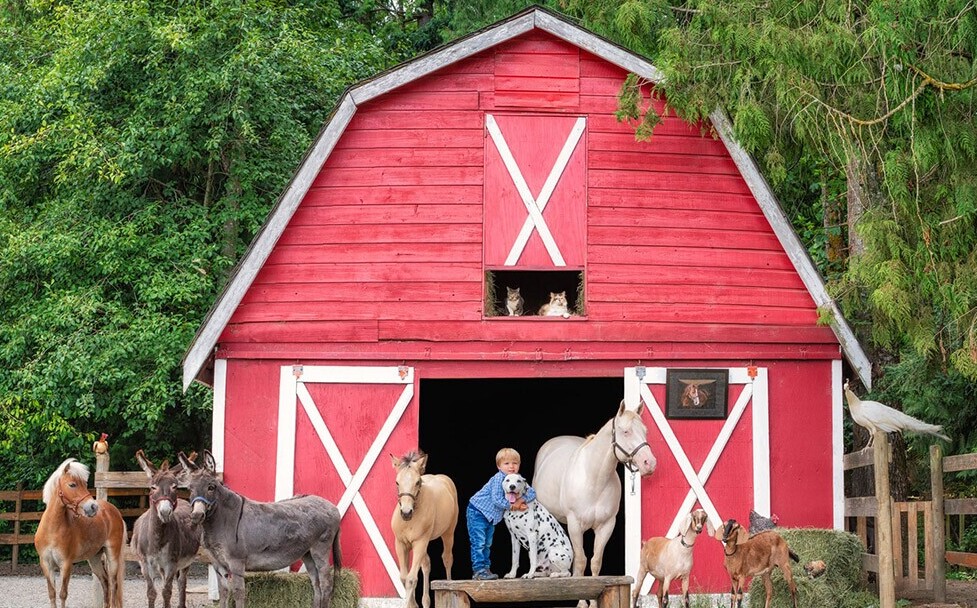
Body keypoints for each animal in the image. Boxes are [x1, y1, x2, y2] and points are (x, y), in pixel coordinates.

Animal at [34, 458, 127, 604]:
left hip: (112, 556)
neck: (52, 530)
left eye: (84, 483)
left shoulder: (66, 564)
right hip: (94, 558)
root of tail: (114, 511)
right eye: (72, 484)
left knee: (113, 585)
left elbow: (63, 594)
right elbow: (52, 594)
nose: (93, 507)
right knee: (105, 582)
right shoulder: (46, 564)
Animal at [131, 448, 201, 608]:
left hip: (185, 562)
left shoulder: (171, 563)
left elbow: (167, 592)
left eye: (174, 487)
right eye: (153, 487)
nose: (164, 512)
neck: (157, 537)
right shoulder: (145, 564)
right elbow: (152, 593)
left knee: (181, 582)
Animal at [177, 448, 342, 604]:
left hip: (320, 549)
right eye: (190, 489)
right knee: (316, 584)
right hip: (307, 552)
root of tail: (333, 507)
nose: (197, 516)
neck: (222, 520)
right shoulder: (218, 564)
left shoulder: (236, 563)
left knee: (326, 584)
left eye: (211, 487)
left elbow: (238, 594)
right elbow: (223, 594)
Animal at [388, 448, 458, 608]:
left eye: (417, 482)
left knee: (447, 559)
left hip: (448, 533)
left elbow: (411, 579)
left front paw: (410, 604)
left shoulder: (420, 542)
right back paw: (426, 601)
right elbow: (404, 577)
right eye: (397, 482)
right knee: (426, 564)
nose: (406, 512)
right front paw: (413, 603)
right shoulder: (401, 543)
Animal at [528, 400, 660, 608]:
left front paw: (593, 601)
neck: (594, 479)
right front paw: (582, 602)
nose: (650, 463)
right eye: (625, 431)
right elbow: (582, 561)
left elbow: (595, 561)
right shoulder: (575, 524)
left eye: (645, 431)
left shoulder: (606, 526)